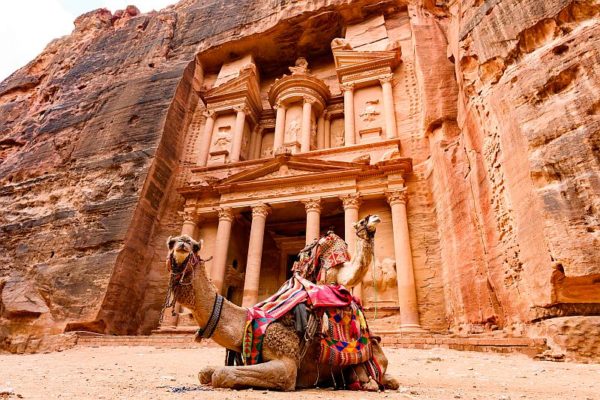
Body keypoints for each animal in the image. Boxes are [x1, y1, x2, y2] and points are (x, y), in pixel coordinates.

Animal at [164, 216, 398, 390]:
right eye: (171, 243)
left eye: (195, 246)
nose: (183, 244)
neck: (247, 321)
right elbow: (205, 372)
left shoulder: (287, 363)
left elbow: (222, 374)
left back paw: (369, 382)